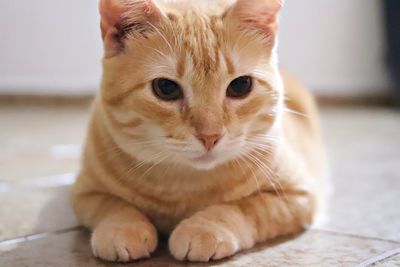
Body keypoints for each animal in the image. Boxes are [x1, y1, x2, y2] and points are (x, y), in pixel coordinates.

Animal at [72, 0, 324, 264]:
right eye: (166, 88)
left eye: (240, 86)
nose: (210, 136)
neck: (187, 183)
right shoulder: (84, 192)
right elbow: (111, 205)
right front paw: (122, 227)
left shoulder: (299, 195)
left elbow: (246, 208)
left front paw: (205, 228)